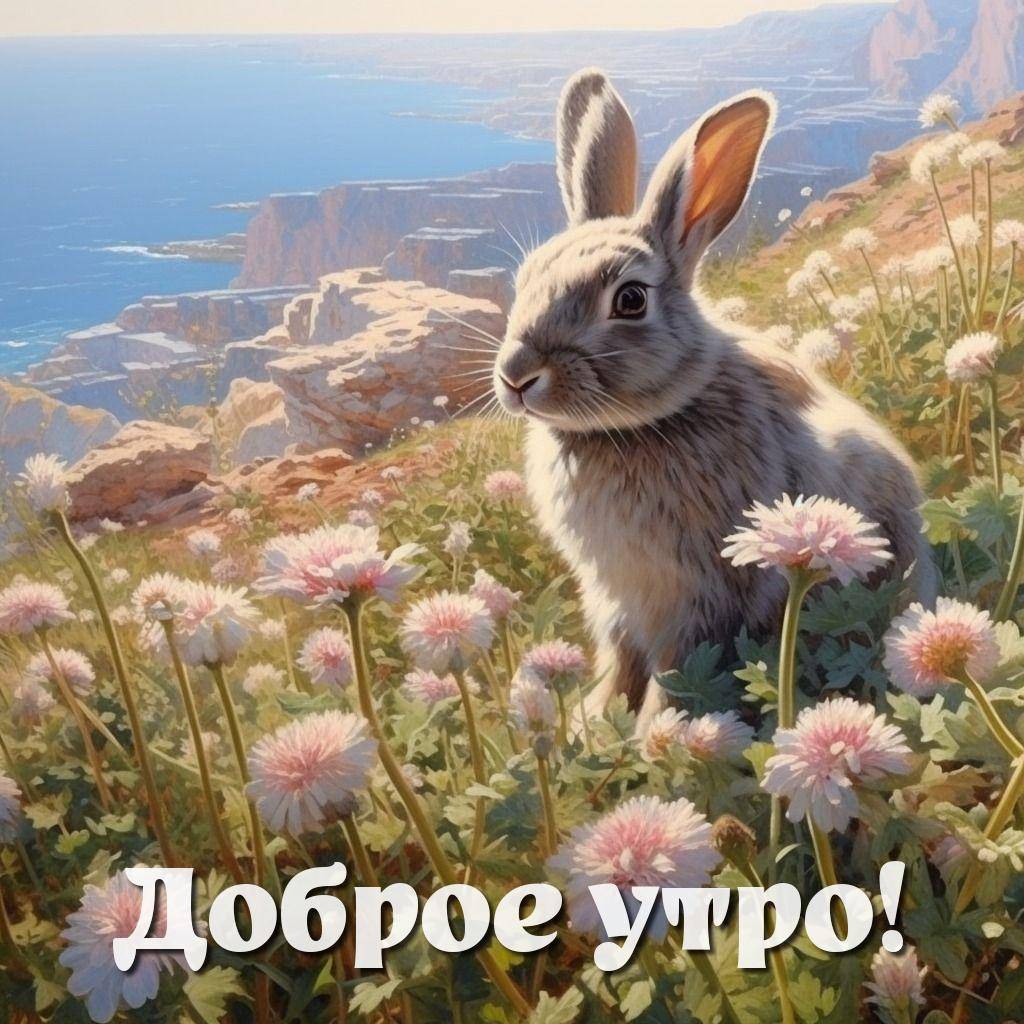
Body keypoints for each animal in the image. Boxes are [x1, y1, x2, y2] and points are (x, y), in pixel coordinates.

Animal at [491, 69, 937, 729]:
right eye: (524, 282)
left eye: (629, 300)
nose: (518, 376)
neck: (636, 427)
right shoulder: (615, 601)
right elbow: (618, 663)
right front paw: (592, 720)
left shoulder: (698, 597)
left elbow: (676, 673)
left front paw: (652, 734)